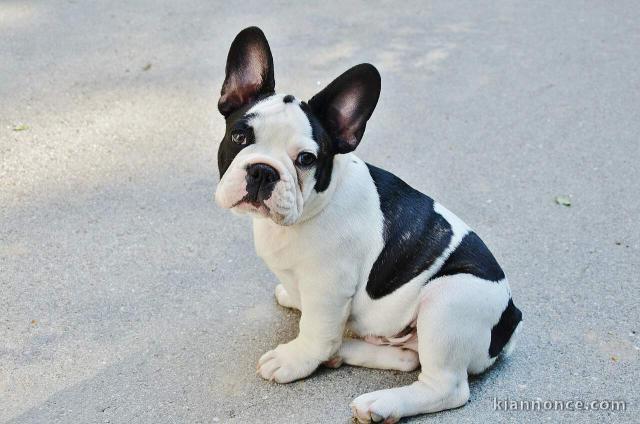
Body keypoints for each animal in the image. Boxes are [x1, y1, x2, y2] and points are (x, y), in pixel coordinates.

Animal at [212, 27, 524, 424]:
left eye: (306, 159)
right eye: (239, 137)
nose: (263, 171)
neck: (313, 206)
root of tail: (511, 317)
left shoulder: (328, 287)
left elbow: (315, 329)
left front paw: (294, 359)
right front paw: (293, 299)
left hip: (448, 299)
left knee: (446, 387)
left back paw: (381, 403)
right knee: (407, 358)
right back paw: (343, 353)